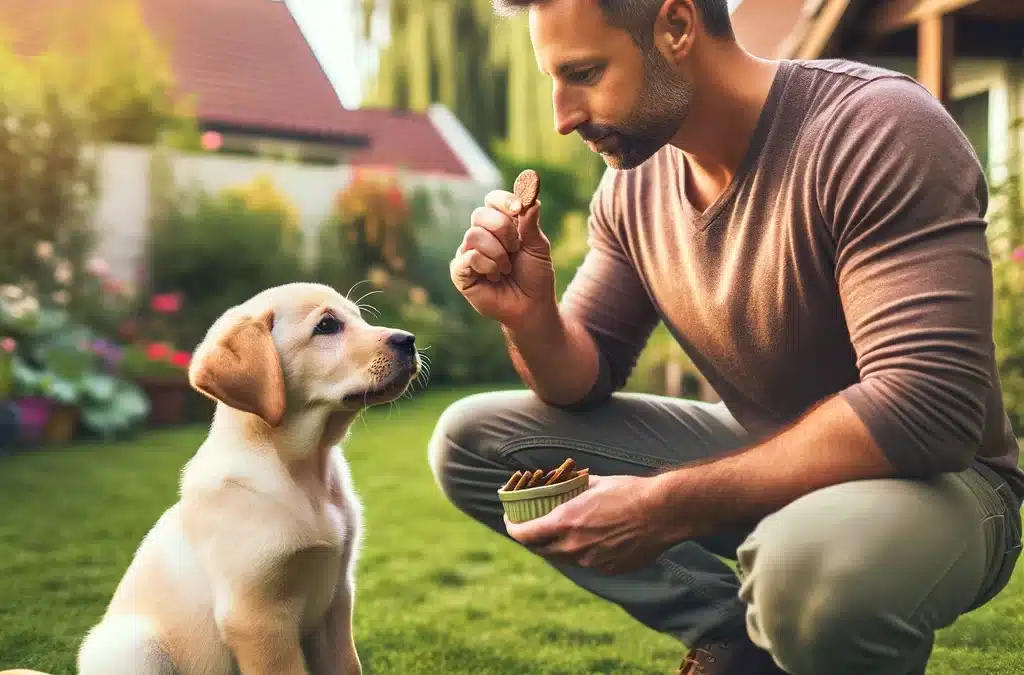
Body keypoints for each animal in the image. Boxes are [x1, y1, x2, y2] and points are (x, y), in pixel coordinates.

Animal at [2, 284, 419, 675]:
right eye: (327, 326)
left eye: (360, 317)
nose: (409, 340)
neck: (303, 471)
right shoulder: (255, 617)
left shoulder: (337, 597)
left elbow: (348, 666)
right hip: (134, 645)